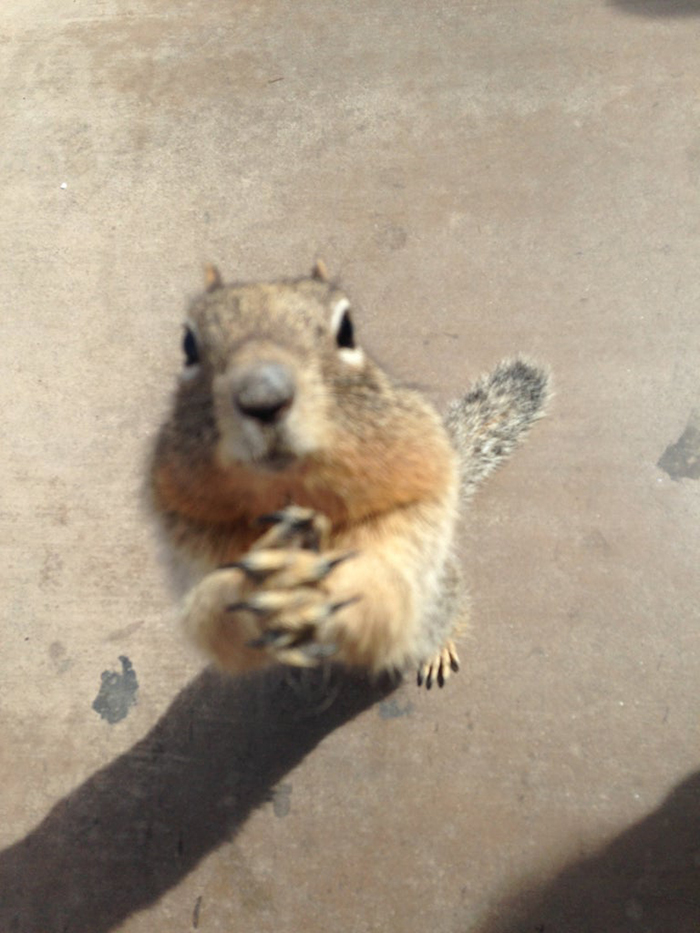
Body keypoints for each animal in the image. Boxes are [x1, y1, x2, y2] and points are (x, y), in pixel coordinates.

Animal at [149, 260, 552, 684]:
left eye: (346, 330)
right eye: (188, 345)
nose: (263, 397)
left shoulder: (416, 488)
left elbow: (390, 582)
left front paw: (336, 584)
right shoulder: (185, 523)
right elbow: (211, 614)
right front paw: (270, 582)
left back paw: (438, 647)